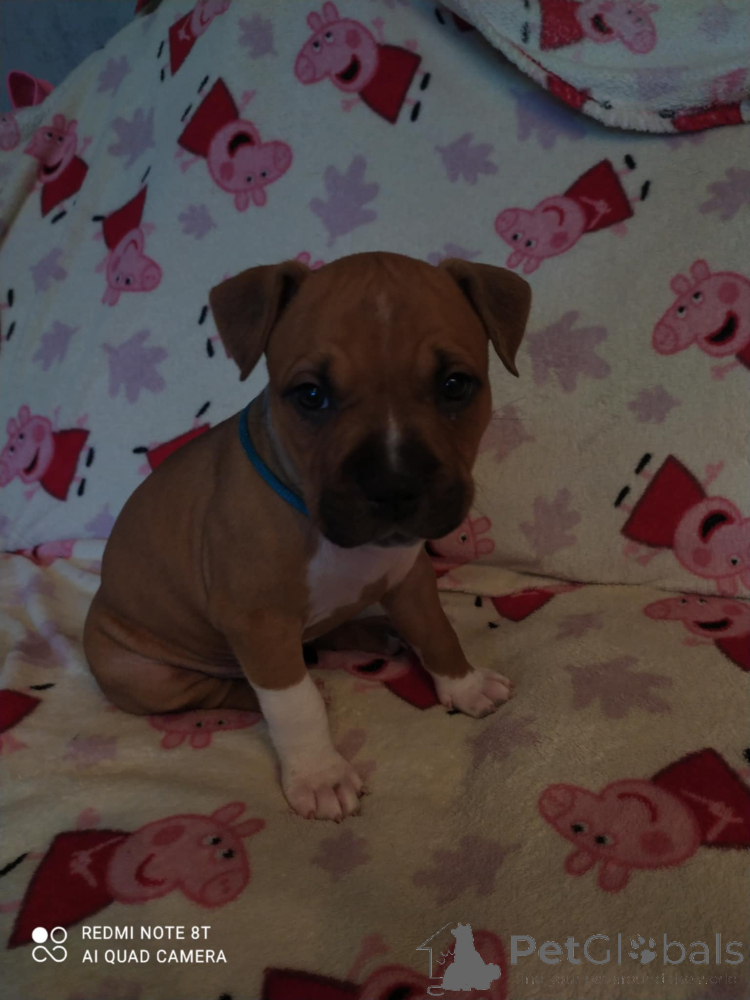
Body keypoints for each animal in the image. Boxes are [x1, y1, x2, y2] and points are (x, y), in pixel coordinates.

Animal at [83, 251, 531, 821]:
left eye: (454, 385)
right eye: (311, 396)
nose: (394, 484)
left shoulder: (409, 576)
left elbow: (437, 632)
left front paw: (465, 684)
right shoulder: (258, 622)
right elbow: (294, 706)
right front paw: (320, 775)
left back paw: (371, 633)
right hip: (142, 673)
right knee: (222, 690)